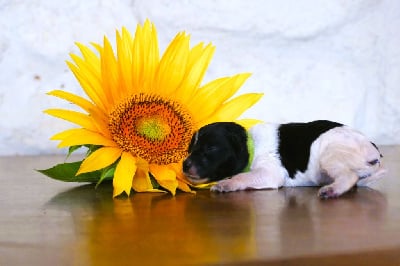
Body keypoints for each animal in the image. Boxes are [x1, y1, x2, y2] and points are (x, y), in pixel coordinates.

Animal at [183, 119, 386, 198]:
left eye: (211, 148)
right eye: (190, 149)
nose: (184, 165)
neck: (251, 144)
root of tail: (373, 150)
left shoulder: (269, 173)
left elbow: (242, 176)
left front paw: (226, 184)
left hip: (330, 154)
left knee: (349, 176)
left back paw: (332, 190)